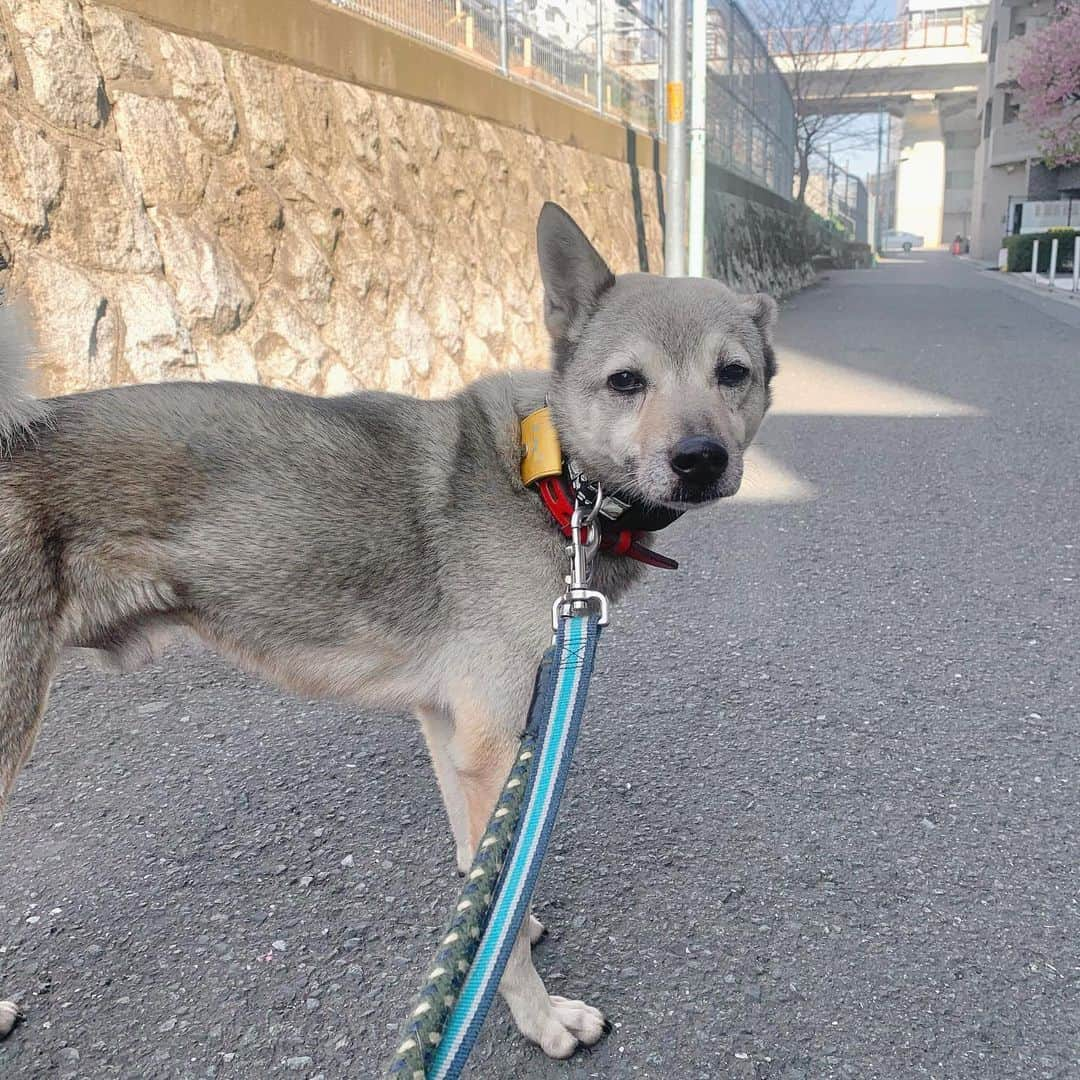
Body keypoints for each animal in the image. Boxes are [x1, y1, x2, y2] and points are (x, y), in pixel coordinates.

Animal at [0, 200, 777, 1054]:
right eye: (626, 382)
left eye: (733, 373)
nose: (700, 458)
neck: (548, 482)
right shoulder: (494, 747)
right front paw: (540, 1018)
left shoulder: (448, 724)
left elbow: (482, 869)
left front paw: (493, 937)